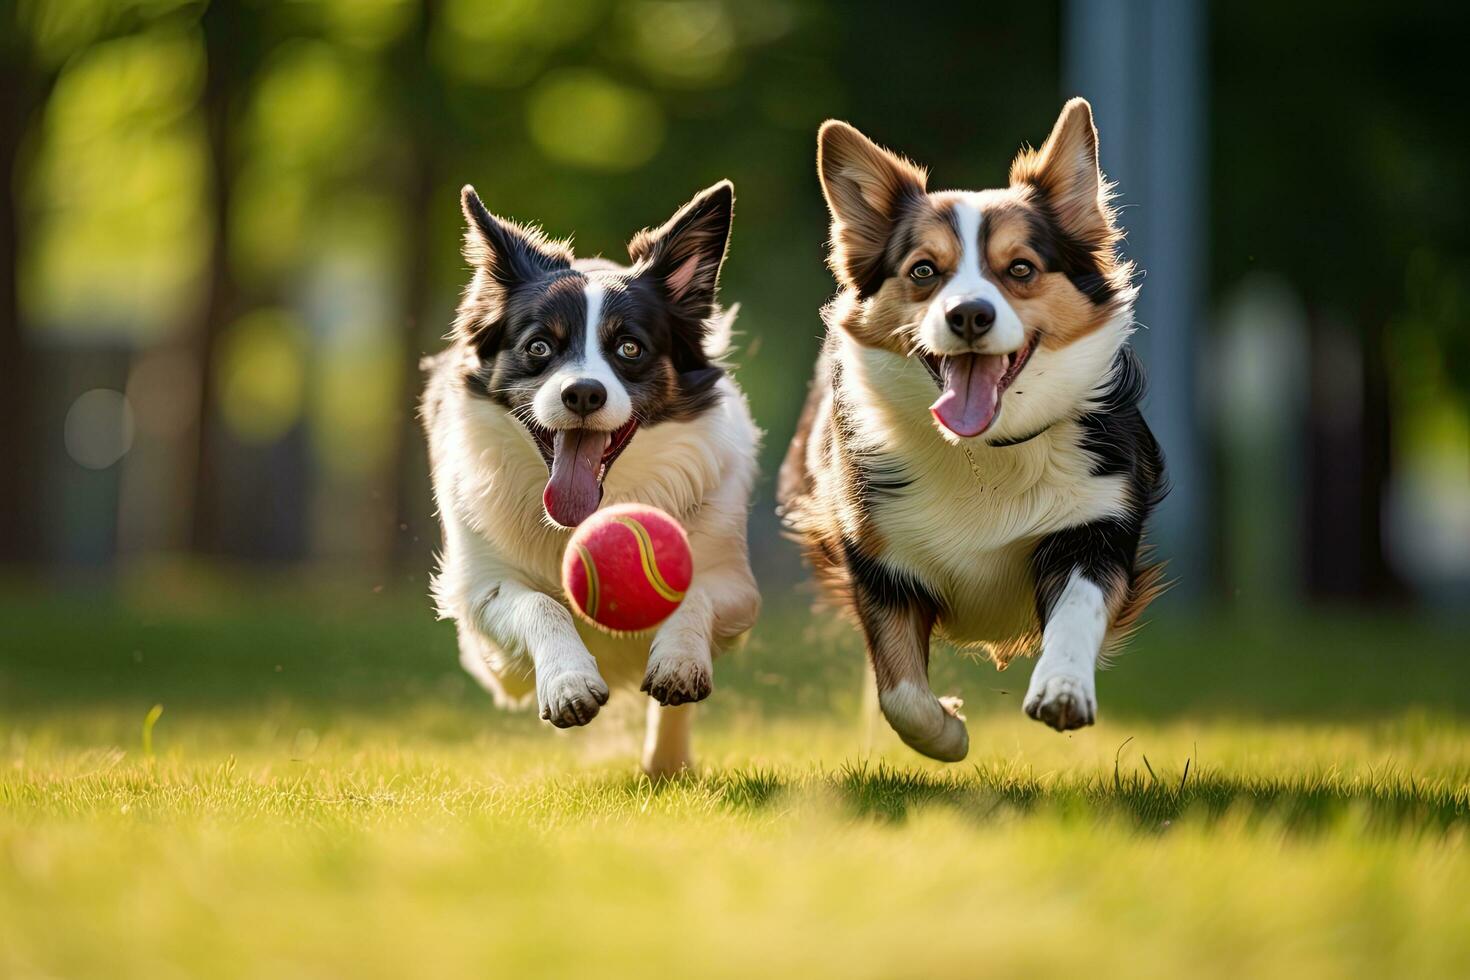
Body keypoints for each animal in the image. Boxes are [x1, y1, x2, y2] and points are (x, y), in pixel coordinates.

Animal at [423, 178, 758, 775]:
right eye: (539, 347)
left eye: (630, 348)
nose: (583, 393)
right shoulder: (477, 584)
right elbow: (540, 604)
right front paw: (568, 683)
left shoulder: (737, 586)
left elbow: (694, 593)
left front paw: (678, 662)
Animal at [776, 99, 1164, 764]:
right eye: (924, 270)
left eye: (1021, 269)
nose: (969, 315)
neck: (983, 451)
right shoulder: (876, 554)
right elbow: (900, 691)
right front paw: (947, 731)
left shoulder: (1097, 522)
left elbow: (1078, 610)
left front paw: (1062, 689)